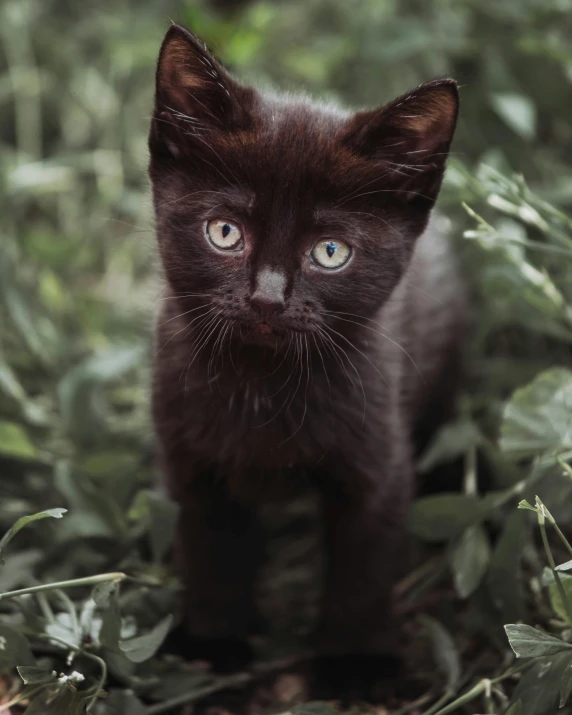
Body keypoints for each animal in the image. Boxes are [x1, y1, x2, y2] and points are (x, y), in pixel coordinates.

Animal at [147, 23, 464, 704]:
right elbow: (209, 551)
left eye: (330, 252)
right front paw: (213, 645)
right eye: (224, 233)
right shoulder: (190, 457)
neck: (265, 384)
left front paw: (355, 662)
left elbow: (363, 567)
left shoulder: (378, 461)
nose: (268, 298)